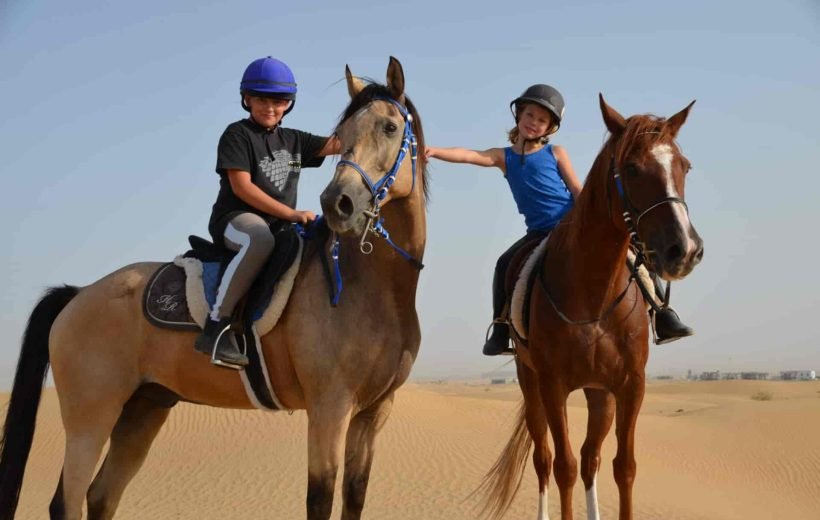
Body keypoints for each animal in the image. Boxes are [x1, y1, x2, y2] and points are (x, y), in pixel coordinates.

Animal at [1, 57, 430, 520]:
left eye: (389, 127)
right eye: (345, 133)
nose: (338, 203)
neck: (371, 289)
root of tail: (79, 295)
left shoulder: (372, 414)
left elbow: (354, 497)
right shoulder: (329, 409)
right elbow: (319, 499)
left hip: (143, 410)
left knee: (102, 496)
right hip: (90, 418)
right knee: (68, 501)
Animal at [480, 94, 704, 520]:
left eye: (684, 166)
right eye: (631, 168)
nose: (684, 251)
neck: (594, 296)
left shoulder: (630, 385)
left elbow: (623, 467)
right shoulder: (553, 386)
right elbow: (563, 467)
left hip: (599, 393)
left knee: (591, 459)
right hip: (530, 382)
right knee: (546, 459)